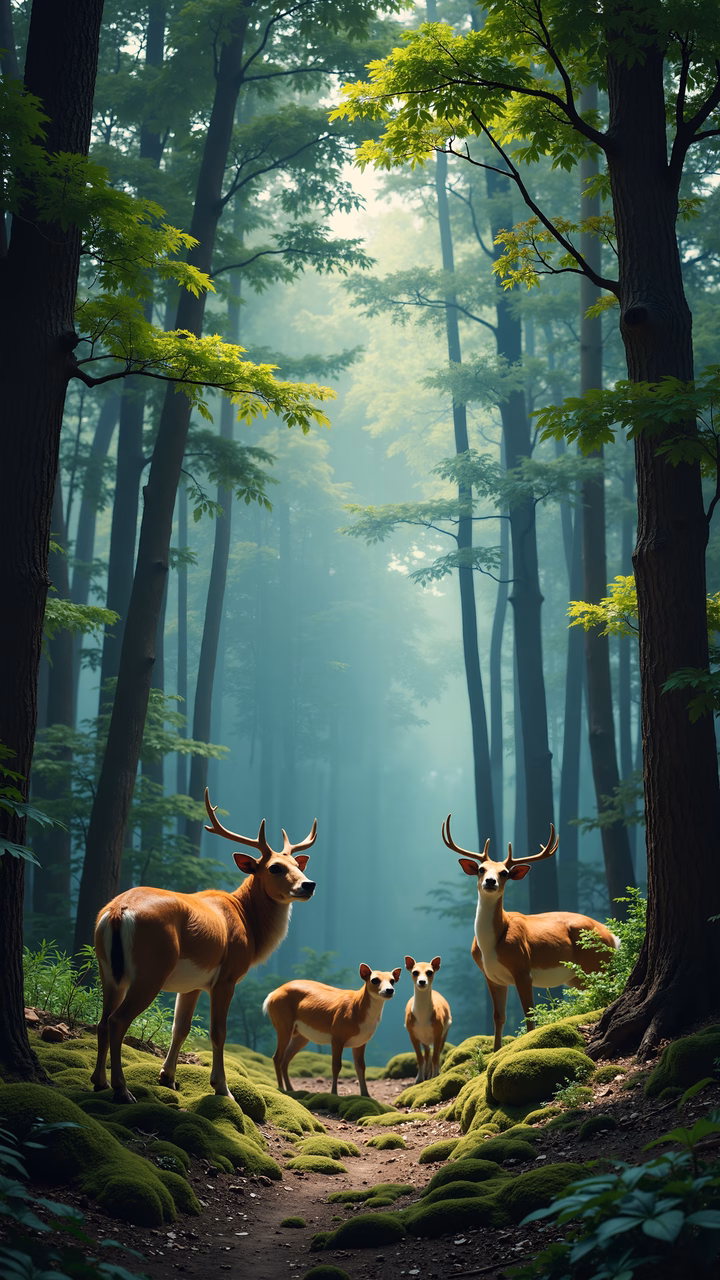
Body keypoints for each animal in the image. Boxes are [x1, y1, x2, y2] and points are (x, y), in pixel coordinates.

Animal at [91, 788, 318, 1104]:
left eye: (298, 865)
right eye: (274, 867)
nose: (308, 885)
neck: (246, 920)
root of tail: (117, 911)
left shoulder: (192, 984)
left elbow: (181, 1027)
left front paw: (168, 1078)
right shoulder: (227, 977)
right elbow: (218, 1032)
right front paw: (223, 1088)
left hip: (109, 969)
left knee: (102, 1021)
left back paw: (99, 1081)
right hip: (151, 969)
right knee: (117, 1020)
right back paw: (122, 1090)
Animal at [263, 964, 402, 1096]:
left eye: (392, 980)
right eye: (374, 980)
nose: (389, 990)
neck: (357, 1010)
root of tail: (270, 996)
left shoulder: (361, 1041)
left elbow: (361, 1066)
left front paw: (366, 1095)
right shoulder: (337, 1036)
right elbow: (336, 1066)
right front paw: (334, 1093)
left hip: (301, 1035)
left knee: (285, 1059)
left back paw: (291, 1089)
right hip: (283, 1024)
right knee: (277, 1057)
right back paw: (281, 1089)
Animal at [404, 955, 452, 1083]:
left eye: (430, 972)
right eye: (415, 972)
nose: (422, 982)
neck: (422, 1019)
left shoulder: (438, 1033)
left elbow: (435, 1057)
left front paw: (434, 1077)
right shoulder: (412, 1034)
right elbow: (420, 1058)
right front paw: (418, 1079)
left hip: (445, 1033)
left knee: (436, 1054)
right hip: (424, 1039)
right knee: (427, 1053)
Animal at [441, 816, 620, 1051]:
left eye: (504, 873)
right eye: (481, 869)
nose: (490, 881)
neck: (491, 943)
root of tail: (613, 937)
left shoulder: (522, 969)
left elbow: (529, 1014)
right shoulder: (491, 976)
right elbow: (498, 1016)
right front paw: (495, 1051)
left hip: (599, 964)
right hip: (577, 978)